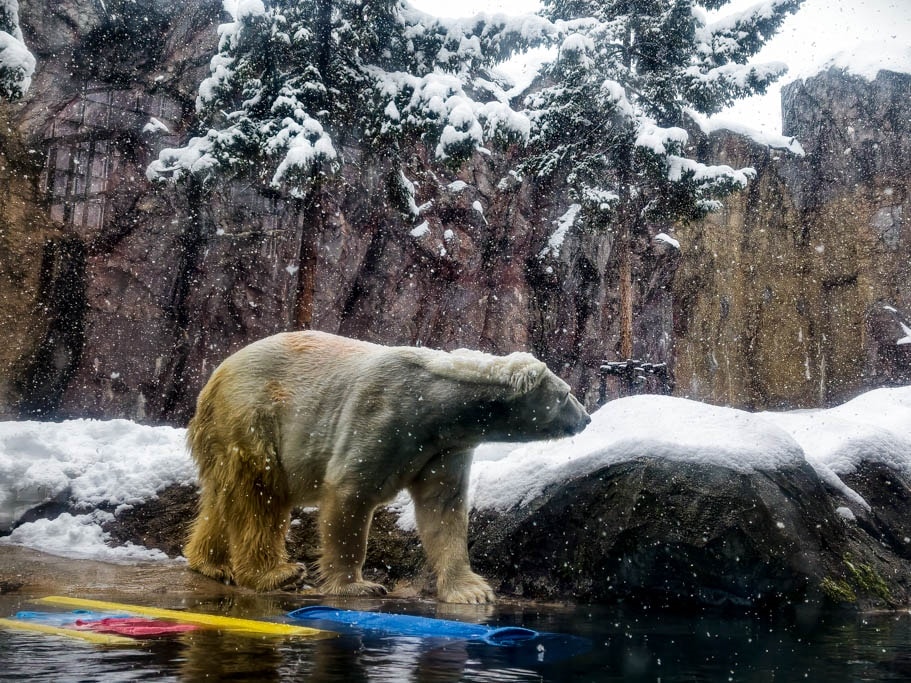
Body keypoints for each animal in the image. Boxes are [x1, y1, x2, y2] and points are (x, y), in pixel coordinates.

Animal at [183, 330, 590, 603]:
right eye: (566, 393)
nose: (586, 418)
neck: (439, 404)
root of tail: (216, 376)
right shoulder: (381, 415)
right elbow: (350, 494)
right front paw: (358, 584)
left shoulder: (444, 447)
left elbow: (443, 510)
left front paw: (472, 590)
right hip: (254, 415)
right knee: (259, 493)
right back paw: (276, 573)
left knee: (226, 496)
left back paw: (211, 563)